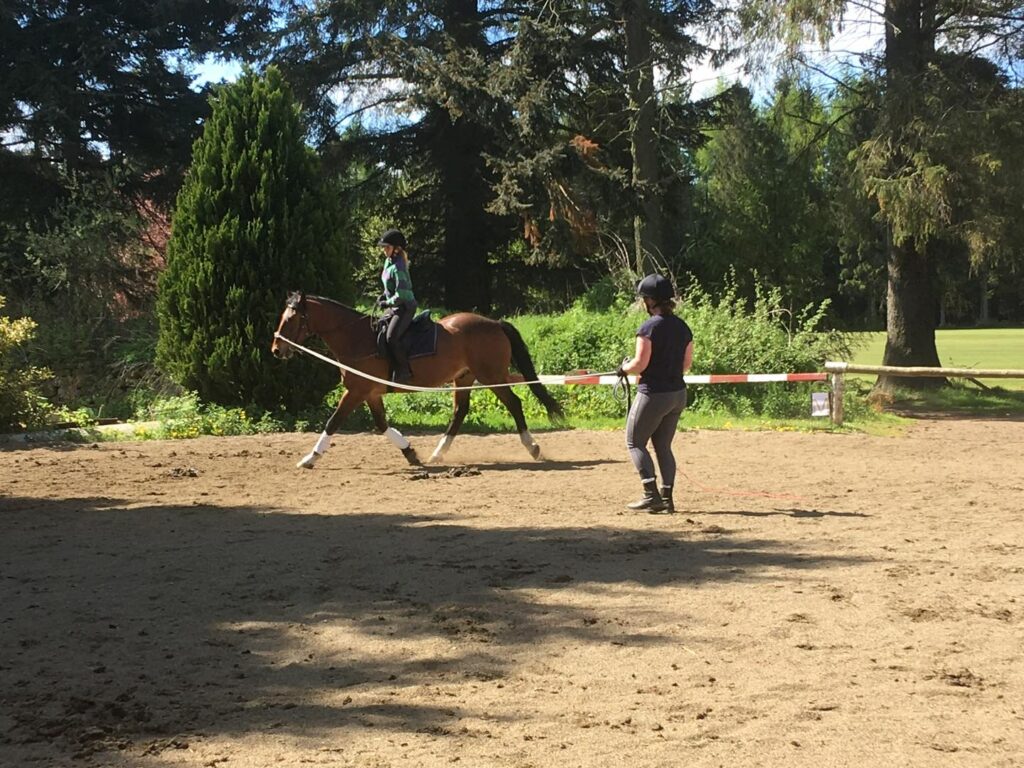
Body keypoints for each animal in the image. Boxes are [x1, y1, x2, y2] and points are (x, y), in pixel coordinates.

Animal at [268, 290, 565, 466]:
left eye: (291, 319)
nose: (276, 349)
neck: (357, 338)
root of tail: (494, 323)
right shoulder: (370, 394)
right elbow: (382, 424)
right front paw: (410, 452)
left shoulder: (356, 392)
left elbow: (333, 422)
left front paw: (310, 457)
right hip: (464, 378)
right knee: (460, 411)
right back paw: (437, 453)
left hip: (491, 375)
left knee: (514, 403)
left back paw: (533, 448)